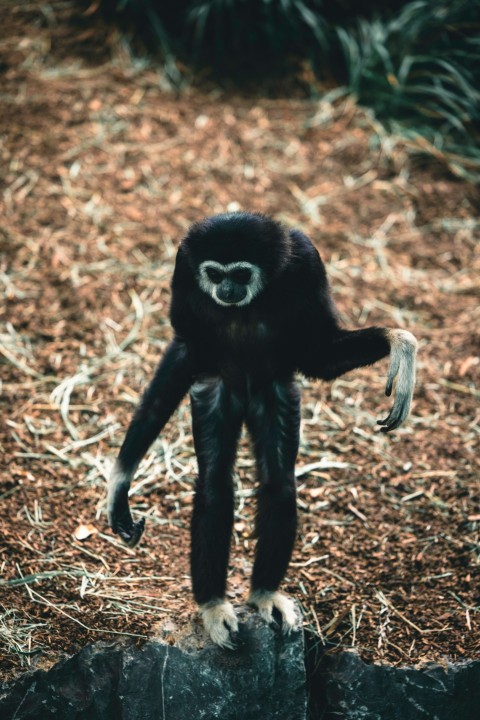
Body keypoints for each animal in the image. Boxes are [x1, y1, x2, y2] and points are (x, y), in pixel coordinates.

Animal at [107, 212, 417, 649]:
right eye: (214, 272)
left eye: (239, 272)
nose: (225, 288)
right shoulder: (184, 270)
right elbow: (186, 348)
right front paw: (120, 481)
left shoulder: (308, 262)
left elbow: (318, 352)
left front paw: (399, 341)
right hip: (216, 391)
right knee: (215, 485)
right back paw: (214, 606)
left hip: (275, 393)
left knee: (279, 481)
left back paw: (263, 594)